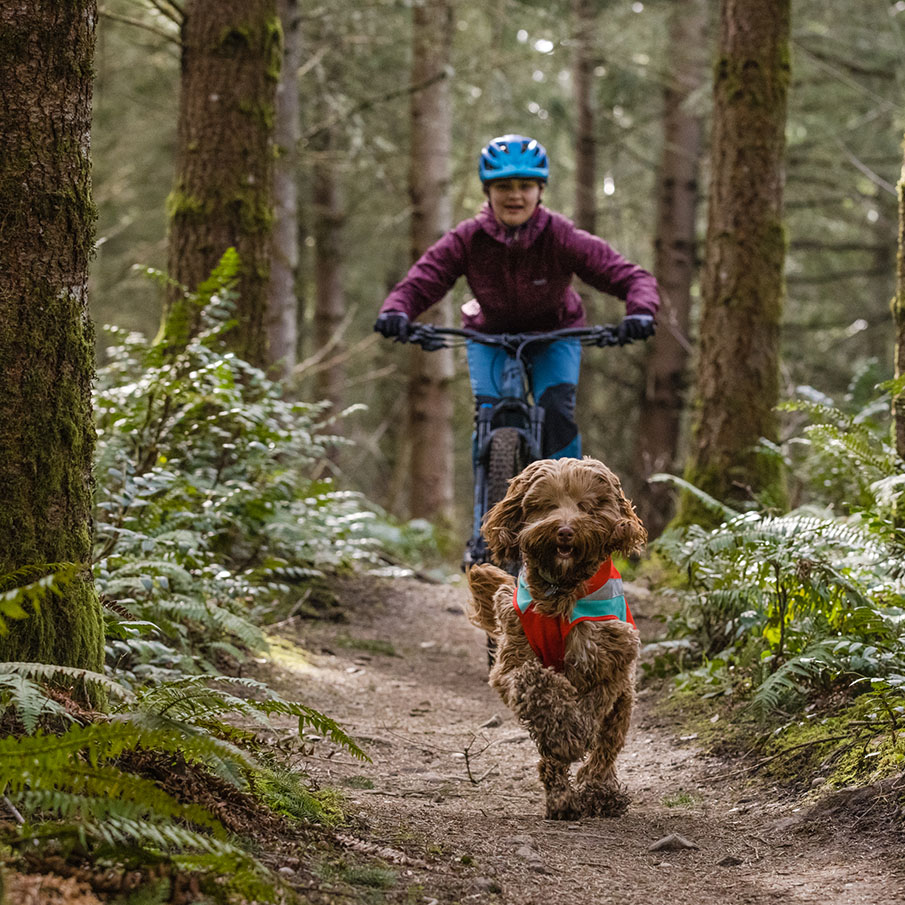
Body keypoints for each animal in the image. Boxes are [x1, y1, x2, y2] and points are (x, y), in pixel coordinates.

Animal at [466, 460, 644, 820]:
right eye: (546, 505)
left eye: (586, 506)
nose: (564, 531)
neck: (558, 591)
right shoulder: (513, 657)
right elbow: (534, 682)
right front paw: (563, 731)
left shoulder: (607, 657)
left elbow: (590, 708)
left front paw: (573, 733)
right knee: (552, 753)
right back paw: (561, 798)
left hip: (623, 702)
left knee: (605, 748)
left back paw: (599, 792)